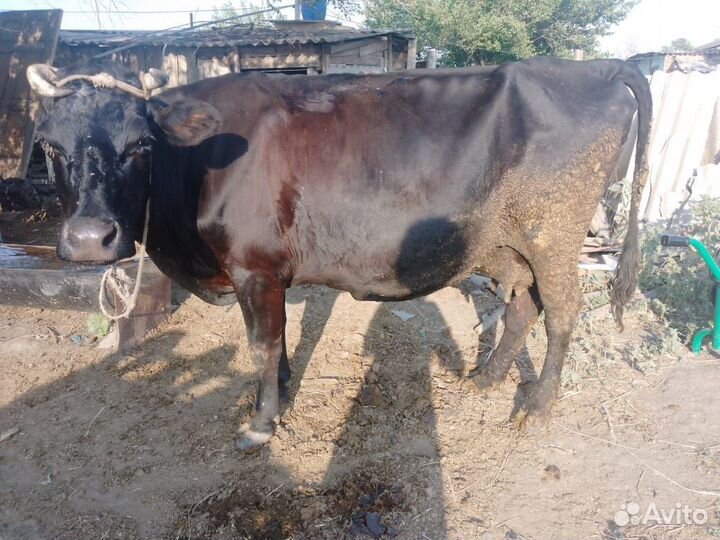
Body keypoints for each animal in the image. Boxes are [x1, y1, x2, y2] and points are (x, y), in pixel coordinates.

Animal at [27, 57, 651, 450]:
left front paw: (260, 423)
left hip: (553, 234)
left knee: (563, 312)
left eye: (140, 146)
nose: (90, 238)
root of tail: (595, 67)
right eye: (49, 146)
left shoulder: (253, 268)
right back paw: (488, 379)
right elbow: (277, 342)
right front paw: (279, 396)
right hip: (506, 244)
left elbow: (260, 344)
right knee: (523, 306)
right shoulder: (270, 274)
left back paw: (538, 407)